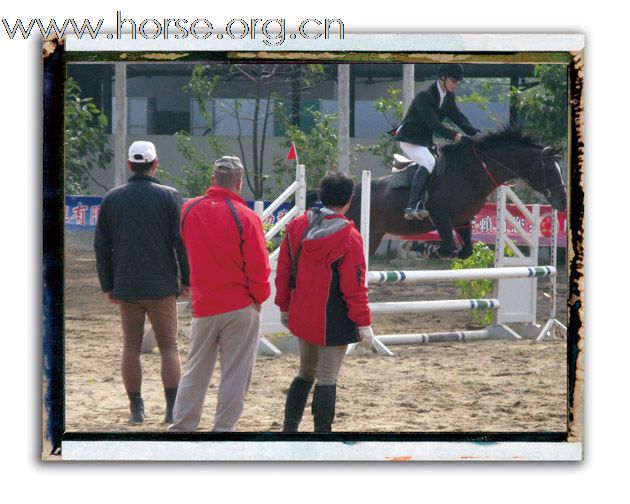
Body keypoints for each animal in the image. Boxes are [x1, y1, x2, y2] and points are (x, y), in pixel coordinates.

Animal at [344, 126, 572, 260]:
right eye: (550, 170)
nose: (562, 202)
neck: (473, 171)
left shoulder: (463, 220)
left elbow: (465, 251)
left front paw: (428, 249)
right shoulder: (439, 215)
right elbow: (448, 248)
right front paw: (425, 248)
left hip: (373, 236)